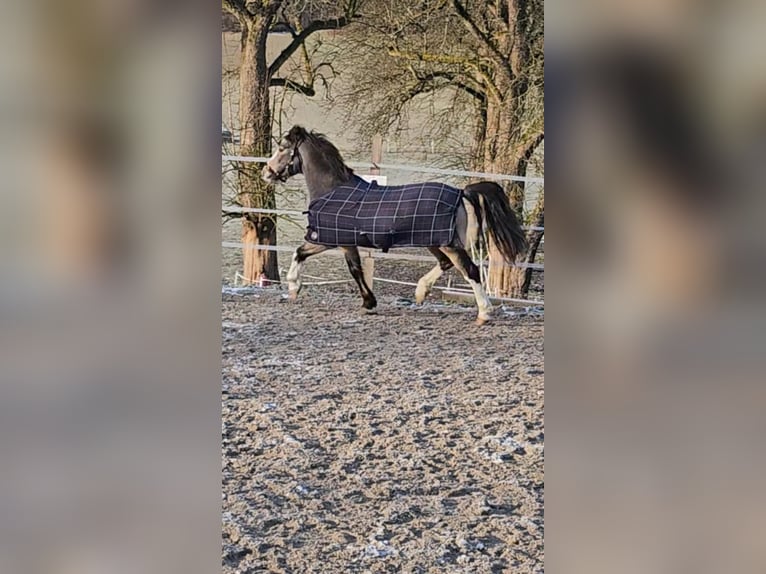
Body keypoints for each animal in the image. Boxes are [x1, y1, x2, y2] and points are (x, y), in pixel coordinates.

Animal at [264, 125, 528, 324]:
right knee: (445, 264)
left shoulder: (331, 239)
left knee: (470, 270)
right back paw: (420, 292)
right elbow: (333, 262)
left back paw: (484, 313)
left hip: (449, 243)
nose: (266, 173)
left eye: (282, 148)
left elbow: (342, 266)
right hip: (434, 241)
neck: (332, 190)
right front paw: (367, 302)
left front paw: (294, 287)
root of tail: (461, 193)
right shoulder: (343, 241)